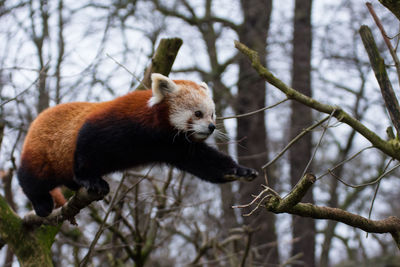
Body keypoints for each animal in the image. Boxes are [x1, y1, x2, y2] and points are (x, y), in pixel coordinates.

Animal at [17, 74, 258, 218]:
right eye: (198, 113)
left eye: (212, 114)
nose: (211, 127)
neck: (156, 133)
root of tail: (37, 121)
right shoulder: (111, 125)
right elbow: (87, 150)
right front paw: (91, 179)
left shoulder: (178, 148)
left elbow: (207, 163)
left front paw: (240, 171)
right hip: (42, 152)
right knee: (31, 177)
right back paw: (41, 202)